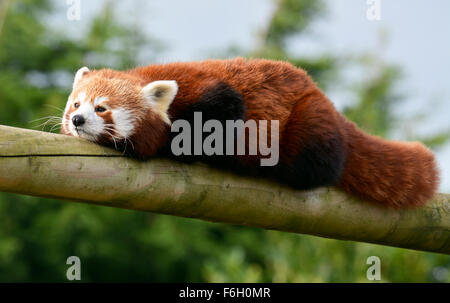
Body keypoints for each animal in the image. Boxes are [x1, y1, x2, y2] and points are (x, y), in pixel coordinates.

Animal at [60, 57, 440, 209]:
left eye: (101, 108)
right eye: (75, 104)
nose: (77, 120)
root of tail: (329, 104)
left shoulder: (212, 94)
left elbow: (219, 121)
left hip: (308, 121)